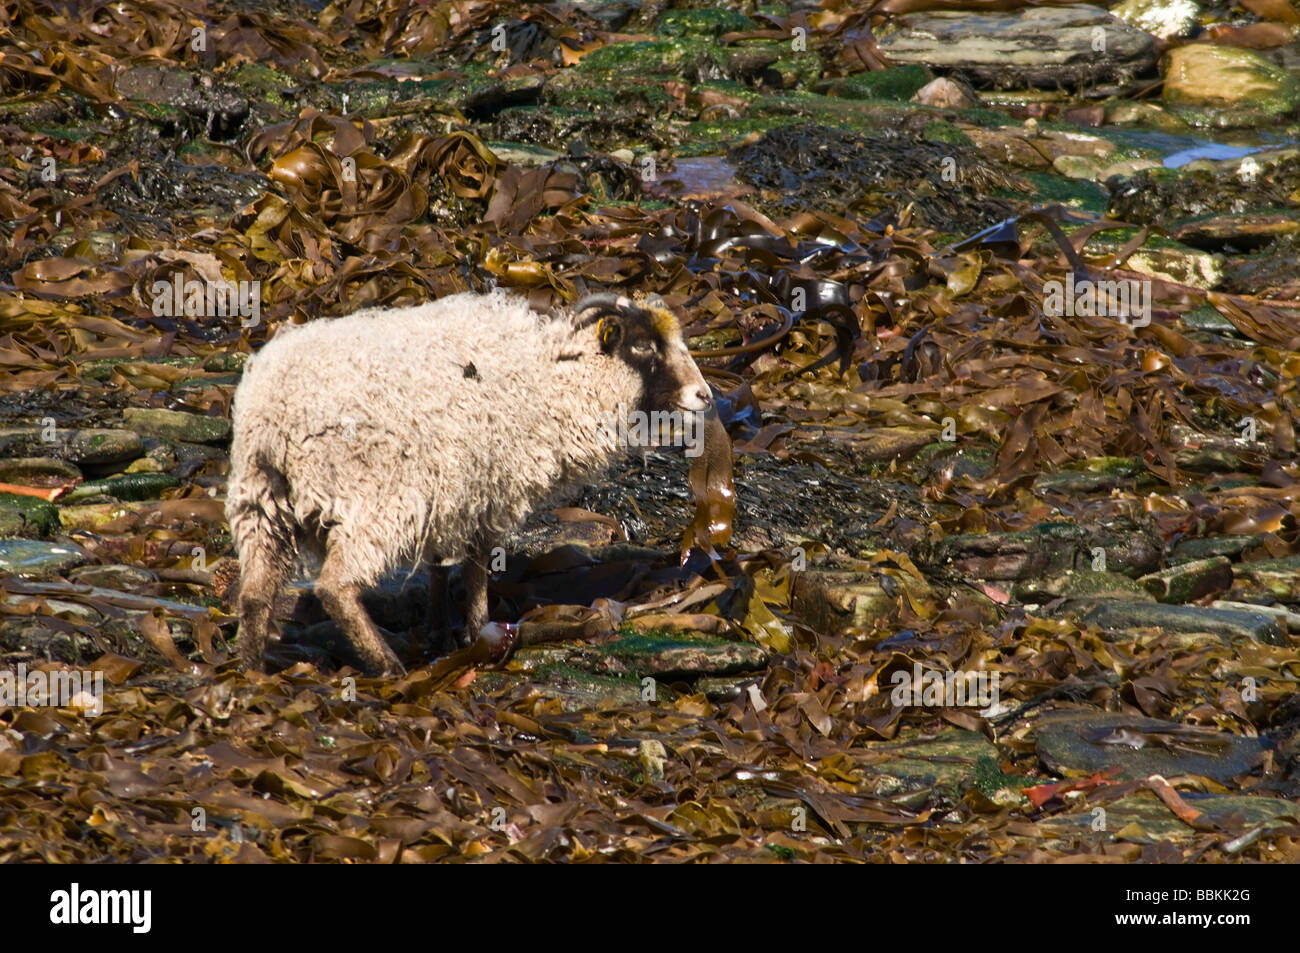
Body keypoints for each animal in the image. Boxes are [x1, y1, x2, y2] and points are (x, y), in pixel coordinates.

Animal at [225, 289, 713, 676]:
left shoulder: (454, 492)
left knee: (254, 594)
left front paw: (440, 630)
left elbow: (439, 565)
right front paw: (479, 630)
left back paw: (252, 671)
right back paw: (388, 666)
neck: (558, 380)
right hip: (375, 501)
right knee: (335, 587)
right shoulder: (491, 491)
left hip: (261, 500)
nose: (705, 395)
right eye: (644, 346)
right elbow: (477, 565)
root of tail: (275, 414)